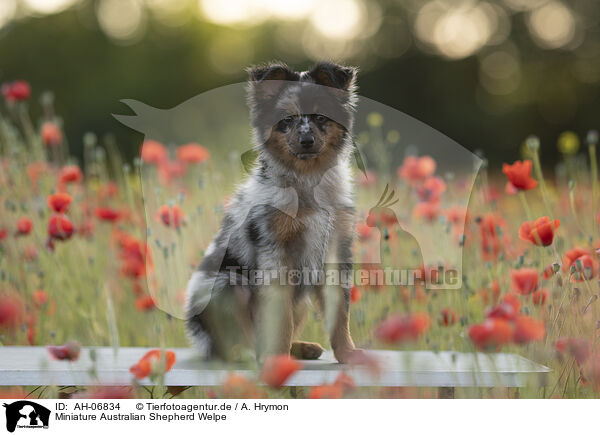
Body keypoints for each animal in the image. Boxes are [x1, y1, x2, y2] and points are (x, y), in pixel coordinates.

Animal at [184, 59, 360, 362]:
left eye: (320, 117)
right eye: (286, 120)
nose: (306, 140)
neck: (307, 181)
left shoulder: (336, 253)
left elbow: (340, 314)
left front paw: (348, 354)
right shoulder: (275, 253)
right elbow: (280, 318)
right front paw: (277, 362)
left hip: (299, 301)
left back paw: (300, 348)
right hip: (227, 284)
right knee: (235, 346)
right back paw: (249, 356)